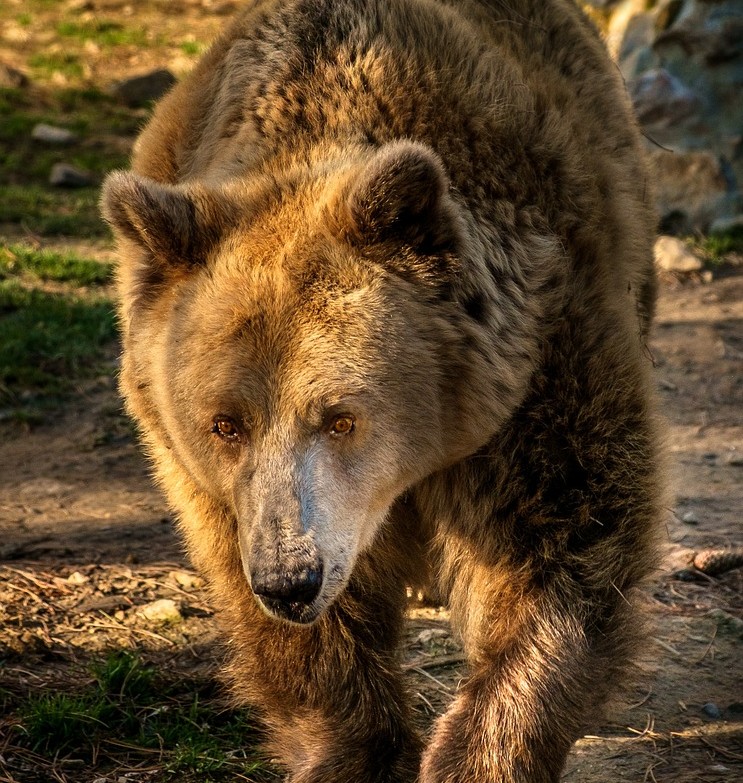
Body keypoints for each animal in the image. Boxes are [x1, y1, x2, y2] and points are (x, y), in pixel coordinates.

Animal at [101, 1, 661, 781]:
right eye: (224, 423)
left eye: (340, 417)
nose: (289, 579)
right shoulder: (218, 485)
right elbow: (309, 635)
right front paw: (352, 749)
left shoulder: (534, 373)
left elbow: (564, 542)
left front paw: (475, 753)